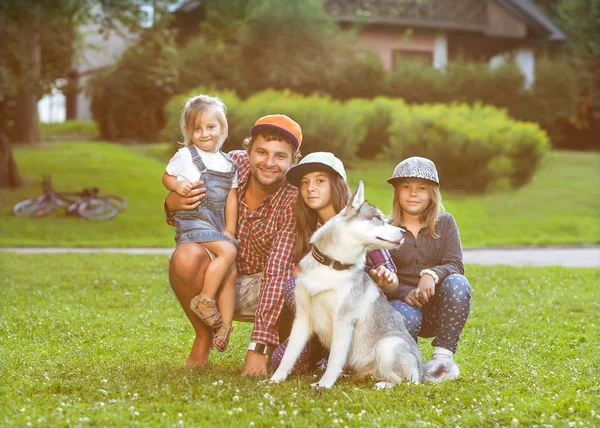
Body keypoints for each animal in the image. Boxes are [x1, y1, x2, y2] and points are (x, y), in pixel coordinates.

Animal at [272, 181, 460, 388]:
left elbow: (334, 359)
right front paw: (274, 380)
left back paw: (383, 385)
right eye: (377, 218)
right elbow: (288, 356)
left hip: (387, 347)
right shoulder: (303, 318)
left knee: (408, 383)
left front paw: (324, 385)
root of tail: (422, 370)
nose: (403, 231)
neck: (331, 265)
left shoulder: (344, 321)